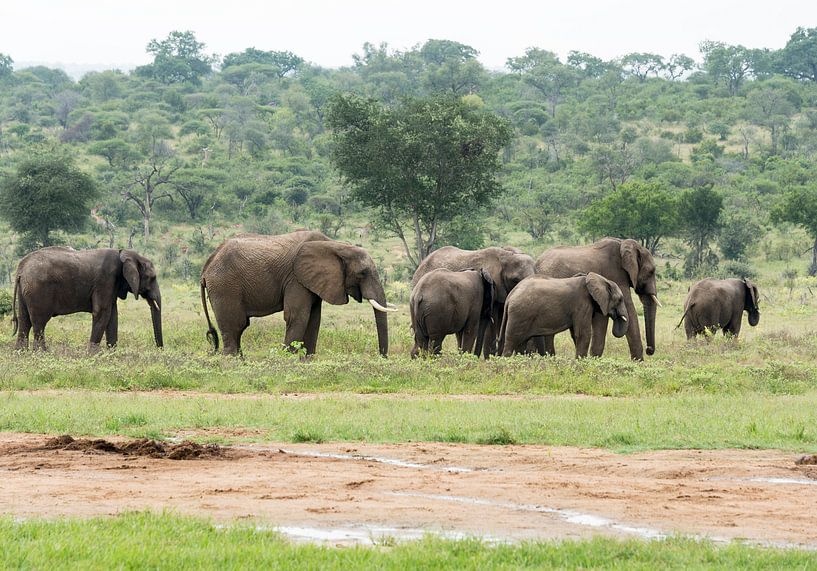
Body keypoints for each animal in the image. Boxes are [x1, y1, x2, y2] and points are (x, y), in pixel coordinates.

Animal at [11, 247, 163, 352]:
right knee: (39, 322)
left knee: (25, 320)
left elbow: (112, 316)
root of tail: (20, 270)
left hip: (25, 291)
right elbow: (102, 313)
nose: (160, 350)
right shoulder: (105, 280)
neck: (125, 253)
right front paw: (93, 355)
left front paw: (112, 355)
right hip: (38, 290)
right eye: (152, 278)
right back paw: (42, 354)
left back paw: (21, 355)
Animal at [200, 230, 395, 356]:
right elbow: (297, 316)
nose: (381, 357)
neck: (335, 245)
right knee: (235, 325)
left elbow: (314, 319)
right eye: (362, 273)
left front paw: (307, 362)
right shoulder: (296, 278)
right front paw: (287, 361)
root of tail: (207, 264)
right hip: (225, 286)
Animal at [499, 273, 629, 358]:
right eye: (620, 299)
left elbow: (575, 334)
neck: (601, 279)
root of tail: (510, 296)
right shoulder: (581, 304)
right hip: (519, 315)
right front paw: (581, 362)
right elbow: (583, 333)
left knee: (520, 344)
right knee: (512, 342)